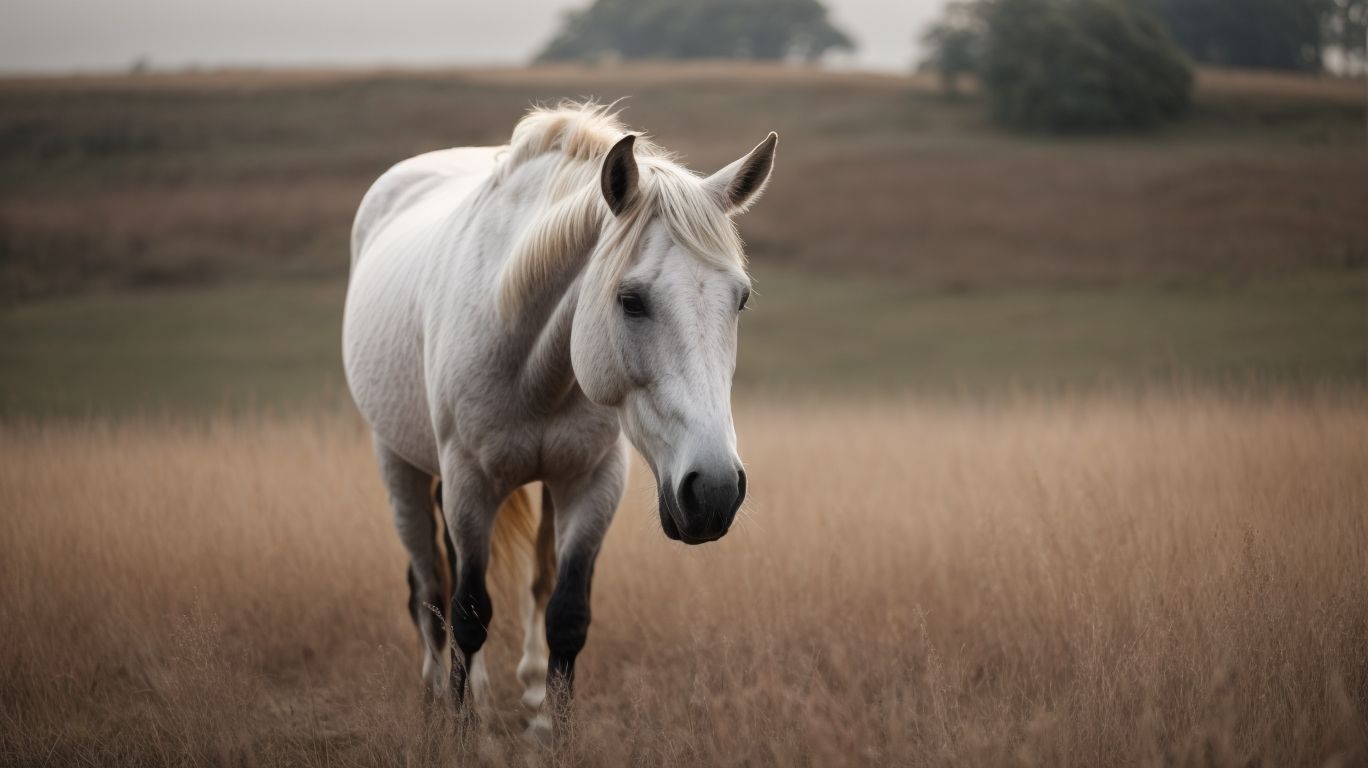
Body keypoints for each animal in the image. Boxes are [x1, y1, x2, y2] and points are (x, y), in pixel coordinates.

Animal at [342, 101, 777, 740]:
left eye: (740, 299)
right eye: (630, 300)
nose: (715, 490)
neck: (530, 360)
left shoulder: (591, 483)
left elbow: (566, 616)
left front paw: (556, 736)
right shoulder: (469, 484)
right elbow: (467, 614)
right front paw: (462, 737)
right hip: (399, 465)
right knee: (431, 590)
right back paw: (433, 703)